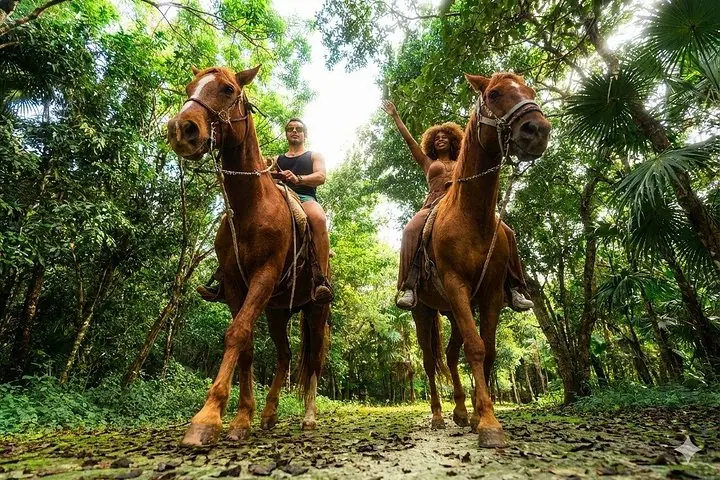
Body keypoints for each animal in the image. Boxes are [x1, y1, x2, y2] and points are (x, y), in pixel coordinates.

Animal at [167, 65, 330, 446]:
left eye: (227, 89)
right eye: (190, 87)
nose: (181, 129)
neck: (251, 206)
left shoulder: (264, 276)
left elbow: (237, 334)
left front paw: (207, 419)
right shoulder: (234, 284)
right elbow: (247, 345)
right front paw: (242, 418)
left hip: (315, 309)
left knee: (314, 359)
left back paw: (309, 417)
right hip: (277, 311)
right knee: (285, 355)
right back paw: (269, 414)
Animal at [412, 72, 550, 448]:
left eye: (530, 91)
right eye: (495, 94)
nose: (538, 129)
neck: (471, 216)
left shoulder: (490, 294)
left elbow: (487, 349)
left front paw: (477, 416)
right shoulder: (456, 285)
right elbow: (475, 348)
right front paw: (489, 425)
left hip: (451, 310)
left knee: (449, 353)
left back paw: (460, 412)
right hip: (423, 311)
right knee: (429, 361)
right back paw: (438, 416)